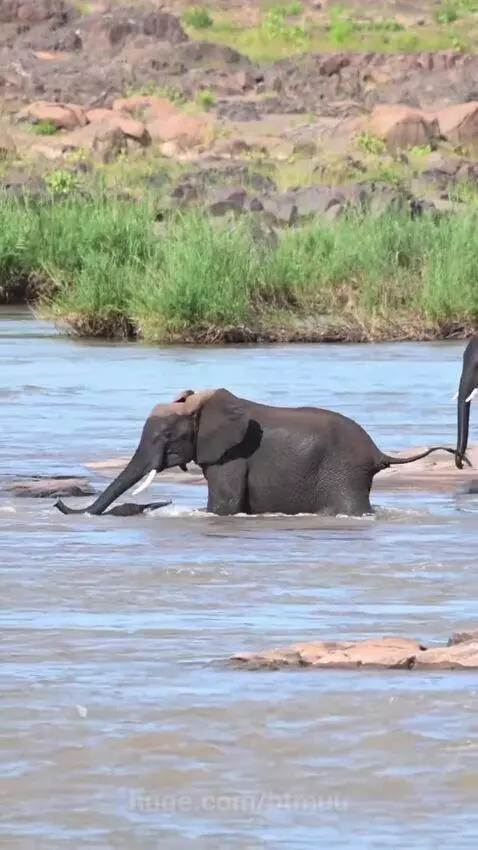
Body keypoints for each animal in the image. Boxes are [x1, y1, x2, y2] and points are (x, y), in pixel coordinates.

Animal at [54, 387, 461, 518]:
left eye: (167, 436)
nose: (59, 503)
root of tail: (378, 453)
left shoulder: (231, 456)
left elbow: (225, 502)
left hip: (344, 473)